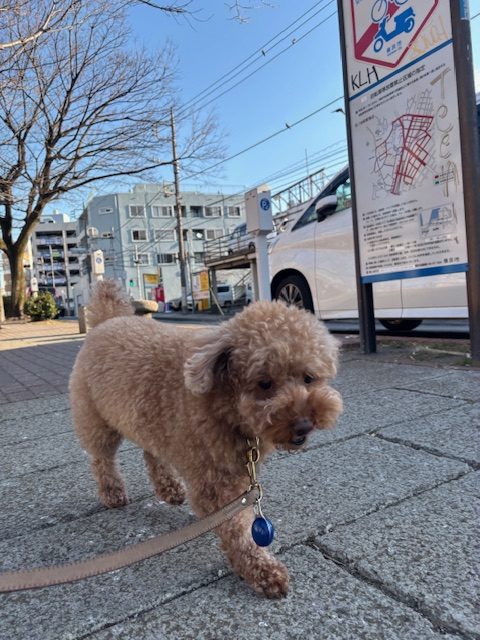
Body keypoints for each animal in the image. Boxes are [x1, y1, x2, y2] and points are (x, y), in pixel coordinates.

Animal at [69, 280, 342, 597]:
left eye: (308, 377)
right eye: (264, 383)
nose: (304, 424)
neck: (225, 405)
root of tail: (107, 320)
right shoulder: (213, 481)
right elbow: (237, 530)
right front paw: (261, 570)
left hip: (149, 420)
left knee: (151, 452)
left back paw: (170, 489)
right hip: (96, 418)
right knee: (102, 458)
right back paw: (112, 493)